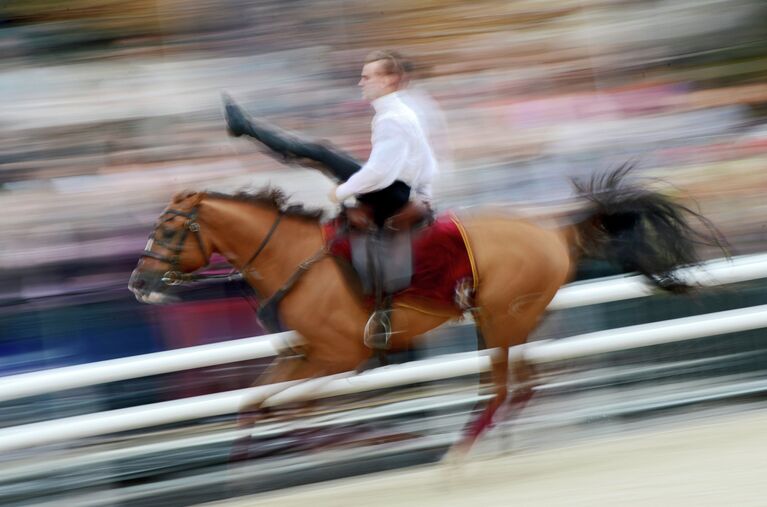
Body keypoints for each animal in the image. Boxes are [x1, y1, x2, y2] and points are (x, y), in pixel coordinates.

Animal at [127, 168, 728, 456]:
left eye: (168, 230)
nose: (138, 283)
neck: (296, 260)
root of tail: (556, 229)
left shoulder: (338, 357)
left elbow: (297, 409)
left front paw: (359, 442)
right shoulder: (302, 355)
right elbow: (255, 405)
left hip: (500, 321)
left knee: (504, 388)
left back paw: (459, 454)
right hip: (508, 320)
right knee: (523, 385)